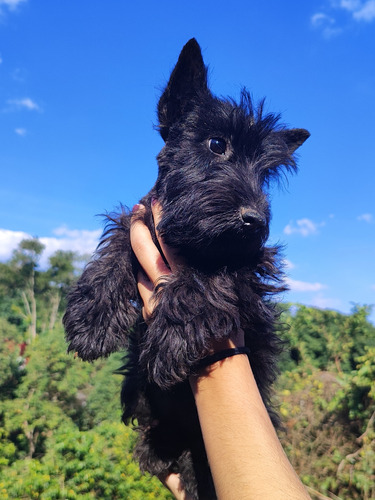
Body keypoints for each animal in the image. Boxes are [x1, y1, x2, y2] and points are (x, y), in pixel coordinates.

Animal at [64, 40, 310, 500]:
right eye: (216, 144)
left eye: (265, 173)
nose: (256, 220)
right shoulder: (144, 219)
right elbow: (120, 242)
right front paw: (93, 317)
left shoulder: (251, 263)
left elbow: (211, 275)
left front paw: (173, 337)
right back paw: (158, 448)